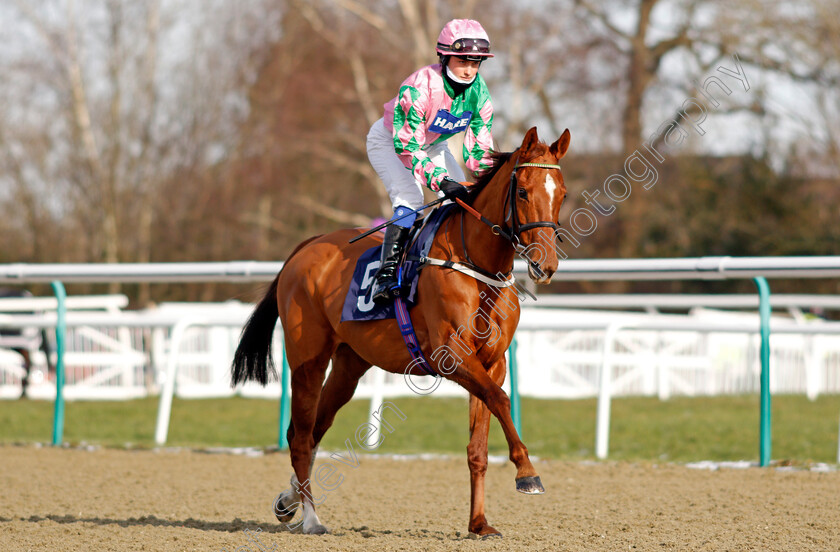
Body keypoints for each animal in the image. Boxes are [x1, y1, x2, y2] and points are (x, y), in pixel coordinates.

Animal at [230, 127, 572, 536]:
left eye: (562, 193)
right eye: (522, 192)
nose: (545, 264)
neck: (477, 265)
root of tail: (305, 247)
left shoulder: (492, 363)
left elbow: (479, 444)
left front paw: (479, 523)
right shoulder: (452, 356)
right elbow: (501, 400)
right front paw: (527, 474)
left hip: (349, 365)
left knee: (313, 430)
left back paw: (288, 501)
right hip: (307, 360)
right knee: (300, 436)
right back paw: (311, 518)